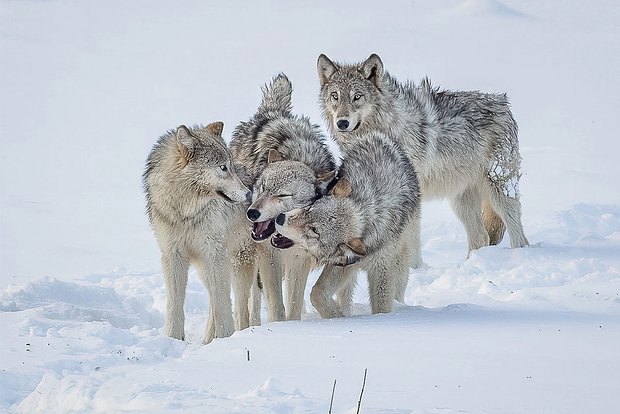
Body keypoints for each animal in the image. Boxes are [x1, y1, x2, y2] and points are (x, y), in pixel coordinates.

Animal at [229, 73, 336, 320]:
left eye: (283, 195)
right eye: (262, 188)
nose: (252, 213)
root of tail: (271, 112)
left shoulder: (299, 257)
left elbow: (294, 304)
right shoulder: (268, 255)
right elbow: (276, 305)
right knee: (253, 295)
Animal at [272, 133, 422, 316]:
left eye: (314, 231)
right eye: (309, 209)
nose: (280, 218)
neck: (366, 212)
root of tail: (377, 135)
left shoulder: (382, 269)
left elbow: (382, 307)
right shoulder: (343, 263)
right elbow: (317, 293)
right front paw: (339, 317)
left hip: (401, 256)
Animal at [320, 53, 528, 256]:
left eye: (357, 97)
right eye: (335, 96)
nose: (342, 123)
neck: (383, 130)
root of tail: (503, 103)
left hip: (499, 190)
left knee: (518, 236)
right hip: (461, 201)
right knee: (481, 237)